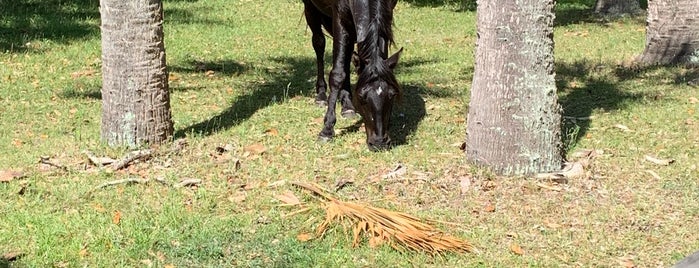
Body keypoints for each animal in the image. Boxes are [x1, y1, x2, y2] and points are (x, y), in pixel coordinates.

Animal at [302, 0, 404, 151]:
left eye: (392, 95)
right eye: (361, 96)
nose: (379, 143)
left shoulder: (388, 14)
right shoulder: (340, 19)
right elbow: (338, 74)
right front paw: (327, 130)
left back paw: (347, 106)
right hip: (310, 8)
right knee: (319, 43)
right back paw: (321, 95)